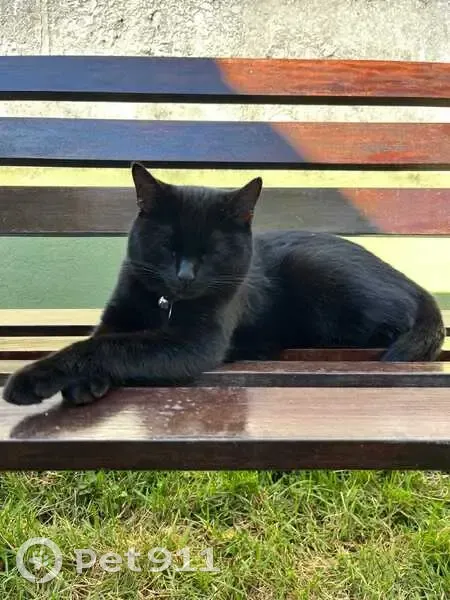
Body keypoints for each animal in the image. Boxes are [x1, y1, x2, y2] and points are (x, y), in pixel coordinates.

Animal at [3, 163, 445, 406]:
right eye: (167, 245)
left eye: (213, 251)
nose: (185, 275)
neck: (164, 304)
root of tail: (416, 285)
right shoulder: (119, 313)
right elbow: (101, 339)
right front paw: (85, 384)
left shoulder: (194, 343)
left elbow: (111, 347)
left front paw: (33, 379)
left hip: (322, 271)